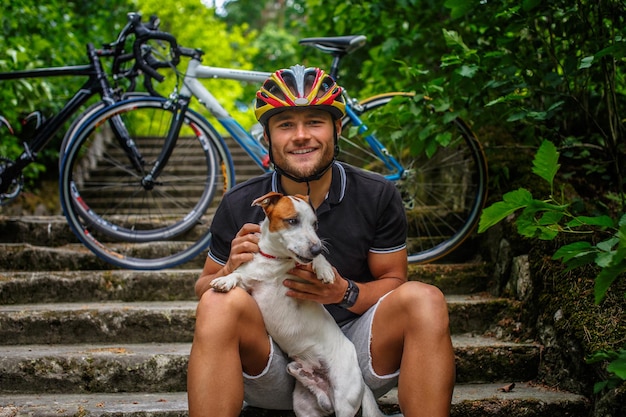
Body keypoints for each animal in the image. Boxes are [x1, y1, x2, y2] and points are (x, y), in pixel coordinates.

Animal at [211, 192, 386, 416]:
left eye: (315, 224)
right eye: (292, 221)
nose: (317, 248)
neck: (274, 261)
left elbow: (313, 263)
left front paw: (324, 268)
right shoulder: (251, 284)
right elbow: (238, 275)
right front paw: (226, 279)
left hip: (345, 399)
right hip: (304, 406)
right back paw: (300, 372)